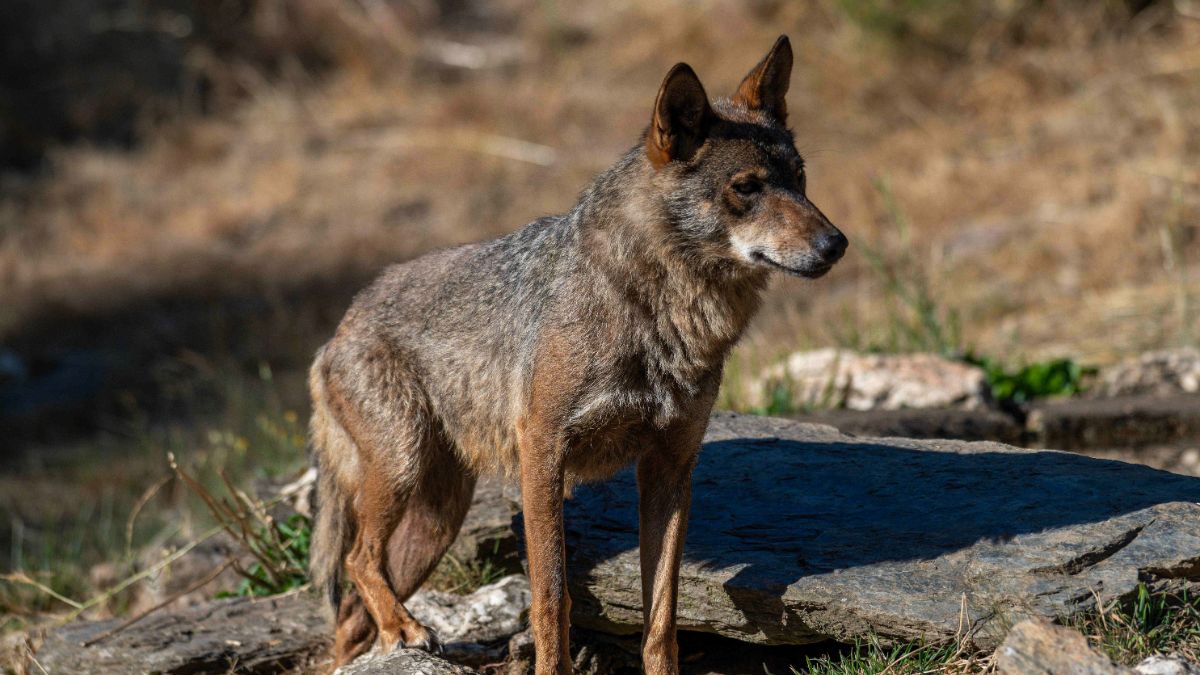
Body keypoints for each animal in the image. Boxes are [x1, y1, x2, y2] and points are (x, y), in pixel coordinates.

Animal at [307, 35, 847, 674]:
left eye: (801, 178)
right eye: (747, 187)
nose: (837, 244)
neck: (654, 310)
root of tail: (340, 326)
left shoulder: (669, 468)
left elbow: (662, 614)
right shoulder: (543, 454)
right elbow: (550, 596)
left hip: (435, 521)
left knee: (351, 610)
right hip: (402, 468)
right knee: (356, 561)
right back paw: (407, 630)